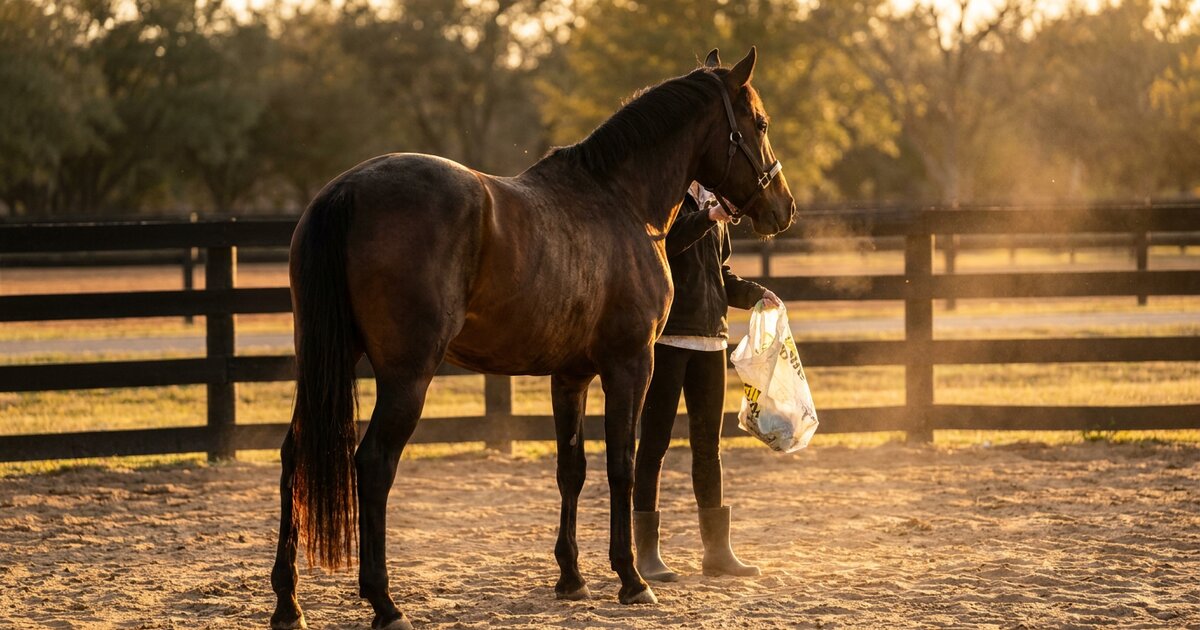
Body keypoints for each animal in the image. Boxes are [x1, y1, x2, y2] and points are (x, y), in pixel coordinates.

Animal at [270, 47, 796, 630]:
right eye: (760, 123)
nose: (784, 208)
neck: (620, 202)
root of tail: (346, 190)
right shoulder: (630, 366)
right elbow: (622, 466)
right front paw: (631, 580)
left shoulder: (570, 376)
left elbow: (572, 469)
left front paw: (571, 578)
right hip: (407, 376)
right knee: (374, 464)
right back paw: (384, 603)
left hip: (326, 363)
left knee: (294, 455)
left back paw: (288, 603)